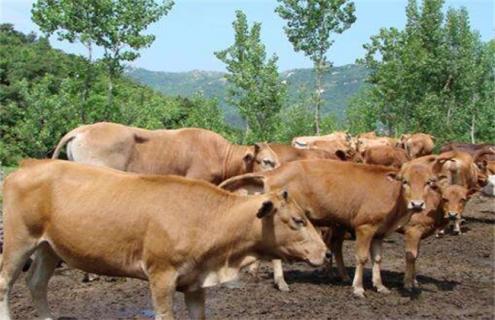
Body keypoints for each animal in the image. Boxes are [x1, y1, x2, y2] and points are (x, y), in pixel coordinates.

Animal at [0, 160, 330, 320]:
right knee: (5, 283)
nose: (325, 253)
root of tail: (25, 168)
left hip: (49, 246)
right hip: (19, 240)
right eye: (298, 220)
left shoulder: (195, 282)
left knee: (37, 283)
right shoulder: (161, 275)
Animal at [219, 160, 432, 298]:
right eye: (405, 181)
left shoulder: (379, 232)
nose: (418, 204)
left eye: (428, 183)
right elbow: (362, 258)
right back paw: (281, 282)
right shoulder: (364, 227)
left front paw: (380, 285)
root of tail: (275, 172)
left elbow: (378, 259)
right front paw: (358, 288)